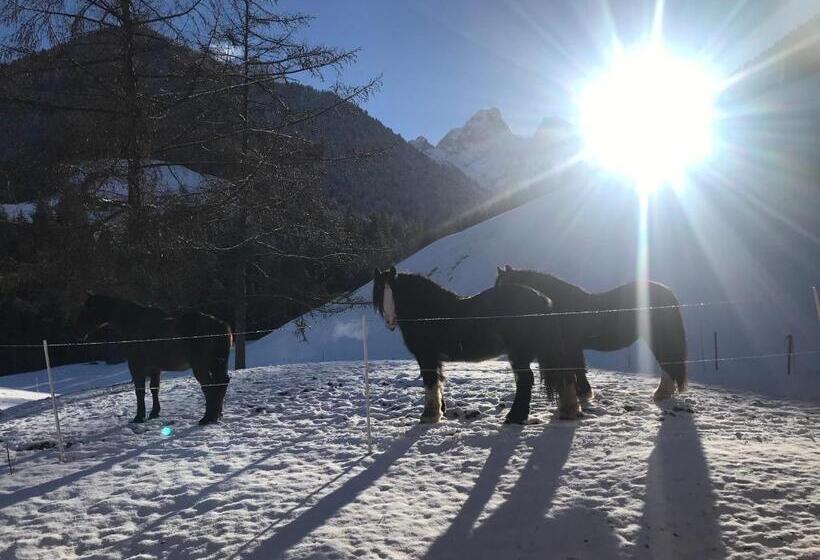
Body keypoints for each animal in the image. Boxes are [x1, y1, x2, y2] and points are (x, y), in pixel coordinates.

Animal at [77, 292, 233, 425]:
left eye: (85, 311)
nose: (79, 337)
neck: (134, 323)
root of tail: (219, 324)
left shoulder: (136, 365)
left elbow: (140, 391)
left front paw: (139, 416)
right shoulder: (154, 367)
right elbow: (154, 388)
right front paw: (154, 413)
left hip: (201, 366)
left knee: (209, 386)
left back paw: (207, 417)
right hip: (217, 364)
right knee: (221, 383)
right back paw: (217, 414)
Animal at [373, 267, 587, 422]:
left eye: (396, 292)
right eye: (380, 293)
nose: (390, 322)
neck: (430, 313)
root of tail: (543, 299)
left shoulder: (426, 356)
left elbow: (430, 383)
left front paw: (429, 416)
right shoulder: (435, 359)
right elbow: (439, 382)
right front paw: (440, 411)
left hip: (519, 352)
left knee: (526, 379)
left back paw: (515, 417)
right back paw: (568, 411)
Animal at [495, 266, 688, 400]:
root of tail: (667, 293)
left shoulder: (571, 346)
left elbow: (578, 367)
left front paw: (584, 394)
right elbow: (578, 368)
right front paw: (584, 394)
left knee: (668, 362)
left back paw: (661, 393)